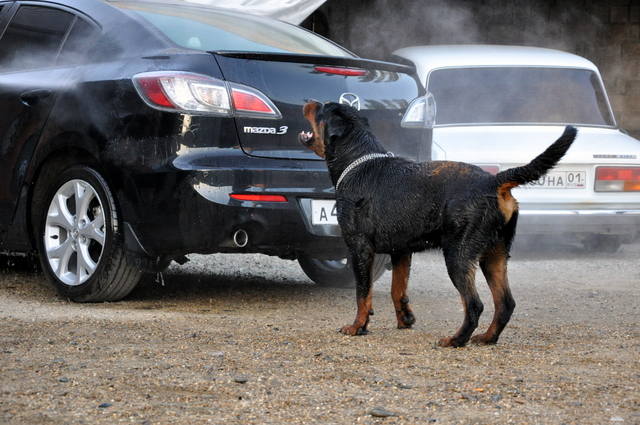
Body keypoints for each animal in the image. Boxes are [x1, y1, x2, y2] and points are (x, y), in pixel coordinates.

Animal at [298, 101, 576, 346]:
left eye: (321, 108)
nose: (308, 100)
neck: (358, 162)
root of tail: (493, 182)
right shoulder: (401, 251)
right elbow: (398, 289)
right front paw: (405, 320)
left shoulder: (360, 248)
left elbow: (362, 294)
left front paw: (358, 327)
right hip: (494, 255)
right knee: (505, 303)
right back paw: (487, 338)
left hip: (458, 255)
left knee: (474, 304)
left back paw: (456, 340)